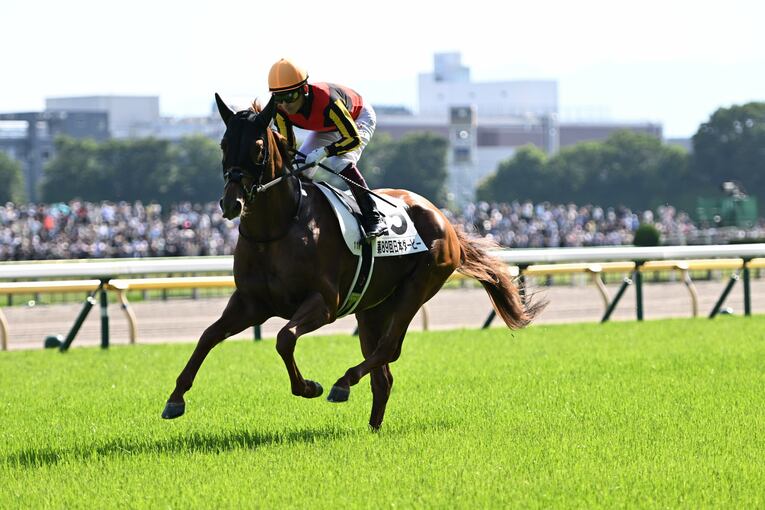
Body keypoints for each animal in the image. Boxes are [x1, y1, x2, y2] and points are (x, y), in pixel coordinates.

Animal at [161, 93, 543, 429]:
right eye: (223, 144)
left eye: (256, 148)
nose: (231, 204)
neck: (280, 227)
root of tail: (444, 219)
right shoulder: (251, 302)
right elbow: (208, 336)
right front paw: (175, 399)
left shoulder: (324, 303)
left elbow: (284, 338)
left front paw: (308, 386)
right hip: (372, 307)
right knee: (384, 374)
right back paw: (373, 427)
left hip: (417, 287)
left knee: (388, 349)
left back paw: (343, 383)